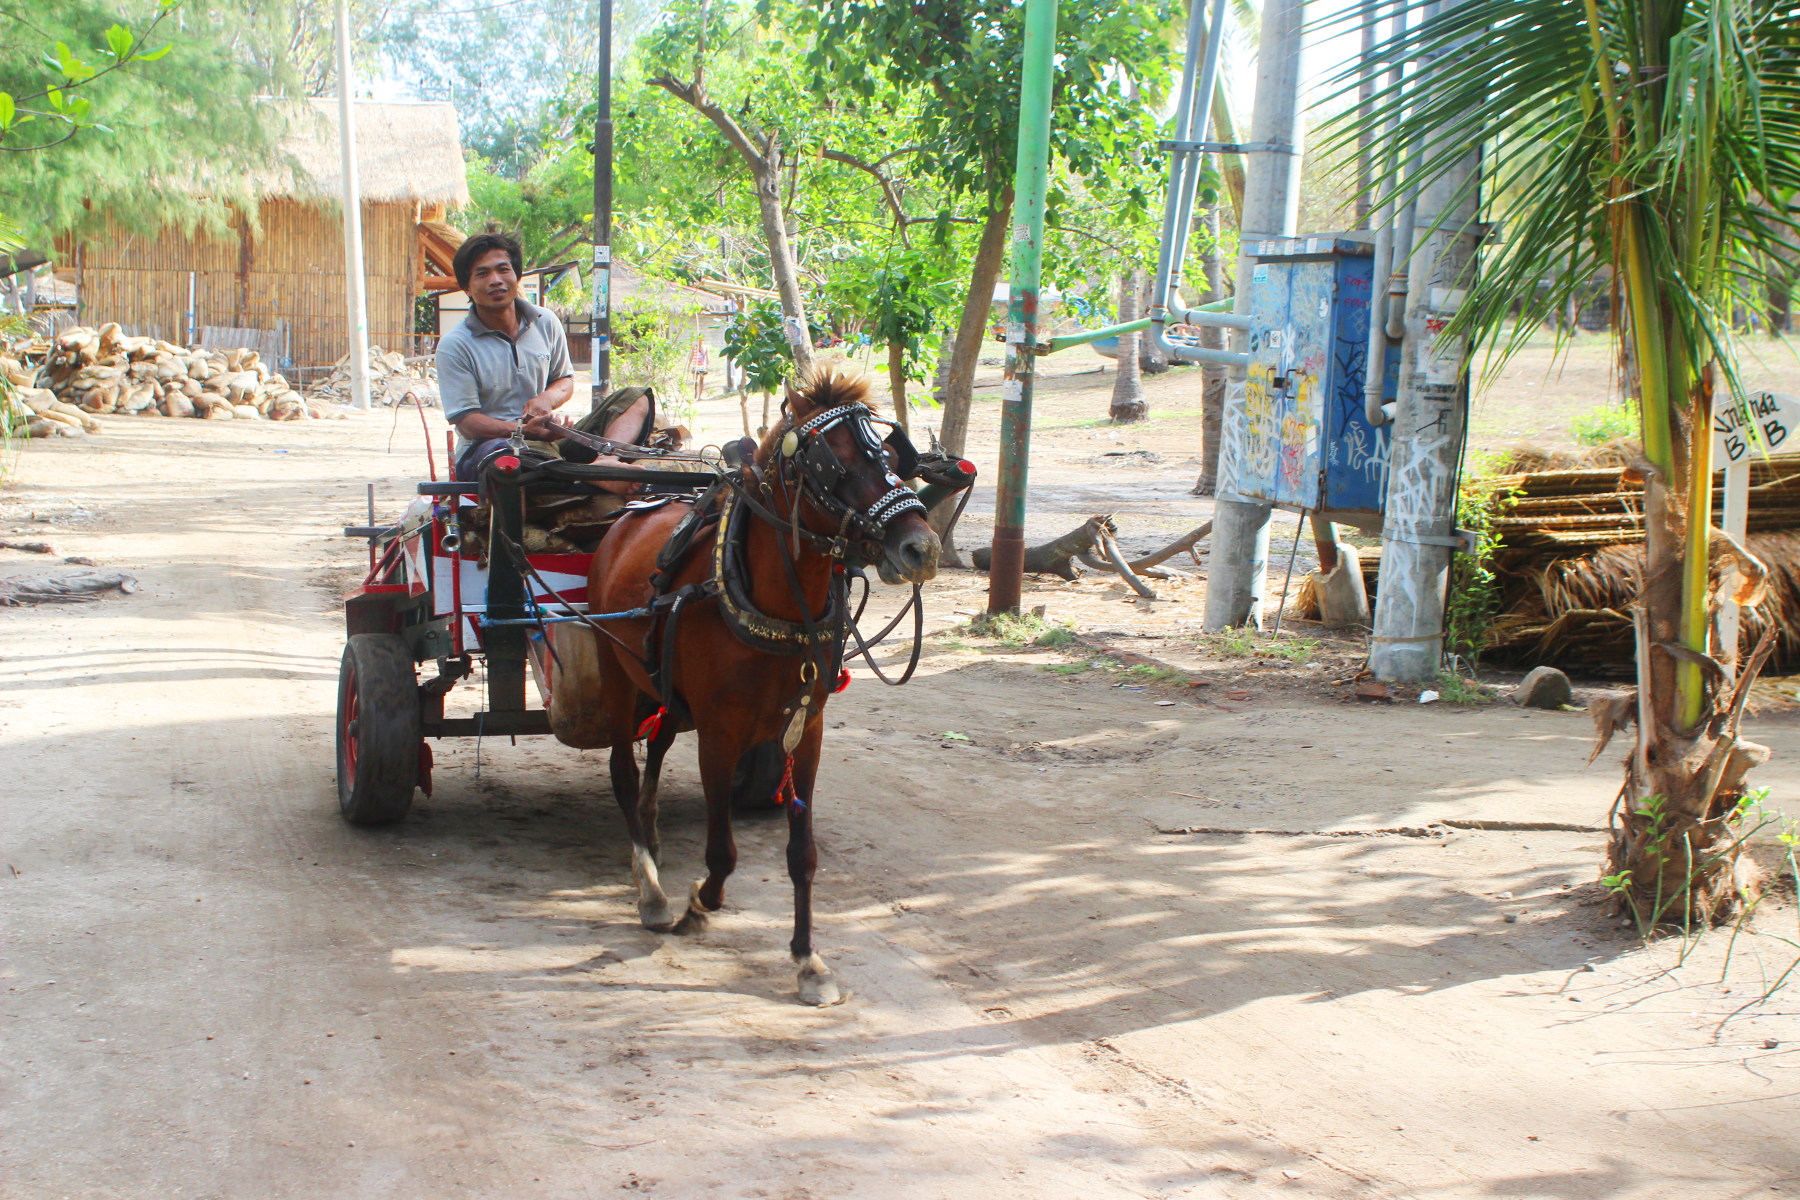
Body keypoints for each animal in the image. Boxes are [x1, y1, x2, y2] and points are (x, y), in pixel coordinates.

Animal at [567, 369, 942, 1005]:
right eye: (835, 464)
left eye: (893, 457)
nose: (922, 548)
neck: (773, 600)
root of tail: (631, 511)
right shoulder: (719, 735)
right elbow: (723, 852)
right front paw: (699, 904)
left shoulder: (805, 732)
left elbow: (803, 854)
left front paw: (808, 959)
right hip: (617, 676)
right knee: (622, 768)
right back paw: (650, 887)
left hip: (666, 689)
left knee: (657, 743)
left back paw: (652, 834)